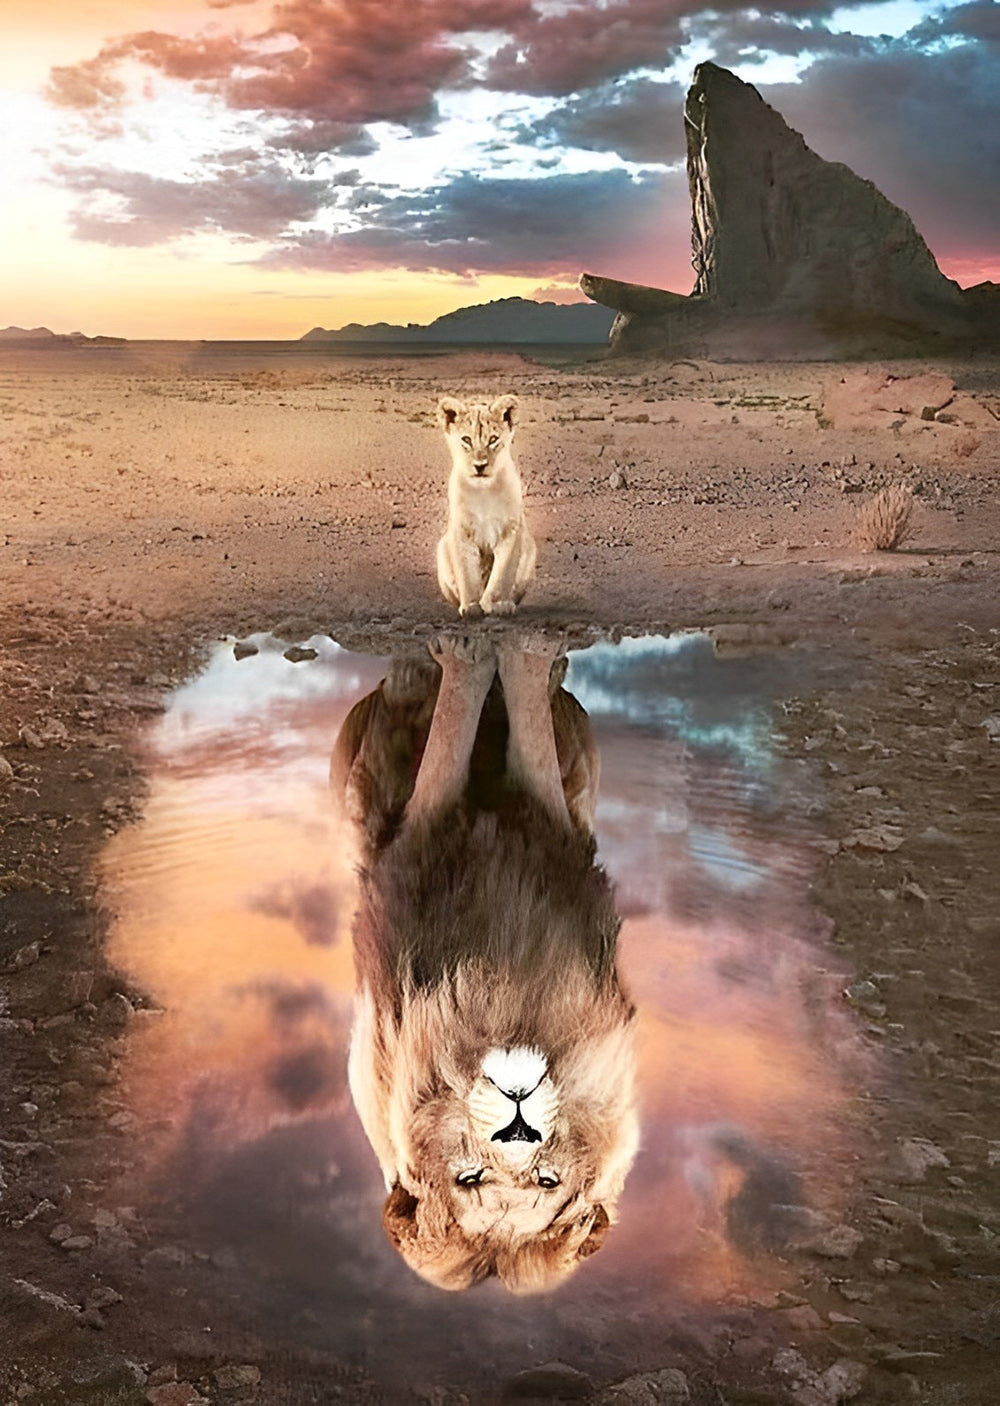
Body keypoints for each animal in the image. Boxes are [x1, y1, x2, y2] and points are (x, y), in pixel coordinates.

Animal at [330, 633, 638, 1292]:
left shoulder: (556, 827)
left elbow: (524, 735)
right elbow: (454, 731)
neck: (501, 1002)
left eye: (547, 1179)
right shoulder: (421, 831)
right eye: (469, 1178)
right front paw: (473, 653)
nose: (518, 1123)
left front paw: (519, 655)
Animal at [435, 393, 537, 618]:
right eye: (466, 440)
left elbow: (502, 574)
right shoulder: (462, 532)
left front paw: (498, 605)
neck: (483, 491)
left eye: (493, 440)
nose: (480, 466)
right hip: (441, 547)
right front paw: (472, 606)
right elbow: (467, 574)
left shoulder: (511, 531)